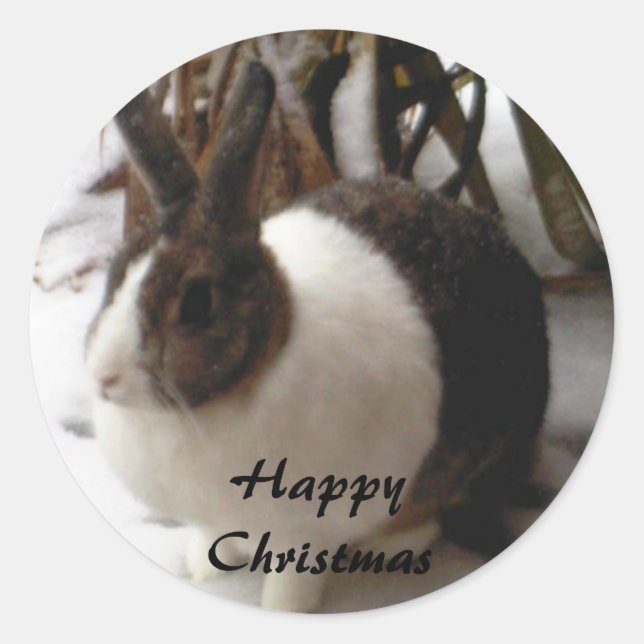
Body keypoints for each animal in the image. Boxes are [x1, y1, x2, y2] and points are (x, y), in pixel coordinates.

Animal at [85, 61, 549, 612]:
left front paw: (279, 610)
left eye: (198, 302)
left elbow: (291, 585)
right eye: (116, 270)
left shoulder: (304, 530)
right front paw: (205, 574)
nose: (104, 378)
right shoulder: (211, 521)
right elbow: (210, 542)